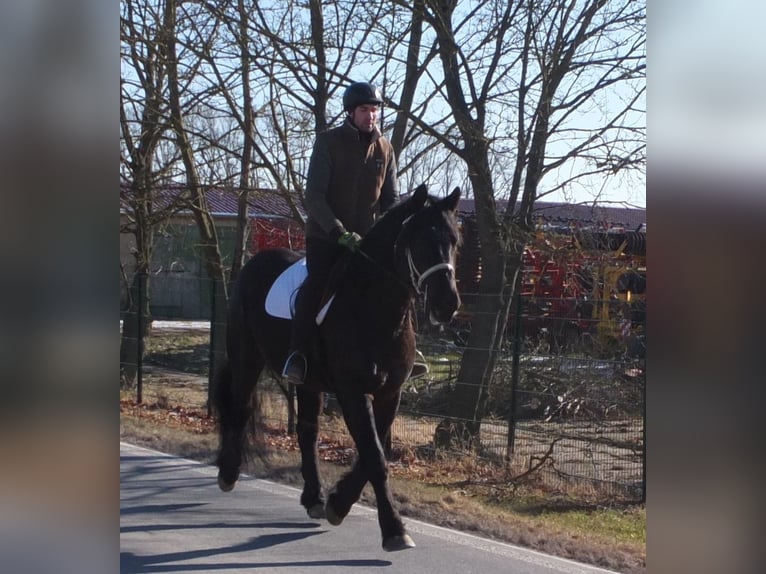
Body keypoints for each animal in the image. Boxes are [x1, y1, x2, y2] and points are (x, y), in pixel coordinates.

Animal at [214, 184, 462, 552]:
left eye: (454, 240)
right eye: (419, 239)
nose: (448, 304)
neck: (375, 308)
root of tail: (254, 262)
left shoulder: (390, 393)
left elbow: (374, 454)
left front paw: (338, 503)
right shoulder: (352, 391)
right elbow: (374, 456)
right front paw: (393, 529)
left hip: (308, 382)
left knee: (307, 430)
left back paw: (314, 497)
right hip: (247, 357)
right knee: (240, 407)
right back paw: (228, 473)